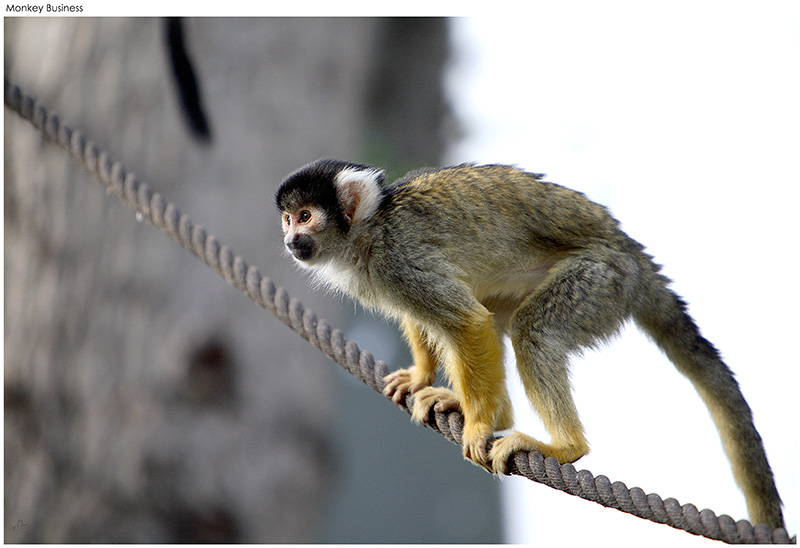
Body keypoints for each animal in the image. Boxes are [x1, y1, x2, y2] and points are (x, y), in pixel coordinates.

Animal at [275, 158, 784, 530]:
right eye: (286, 219)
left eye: (305, 217)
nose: (290, 239)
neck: (370, 228)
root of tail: (636, 259)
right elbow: (428, 319)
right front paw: (421, 376)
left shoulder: (398, 258)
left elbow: (466, 322)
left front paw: (481, 426)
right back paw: (485, 410)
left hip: (603, 282)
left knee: (529, 329)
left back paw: (560, 445)